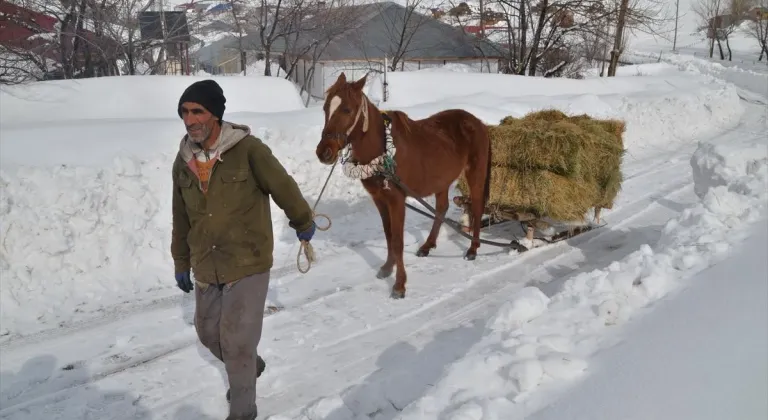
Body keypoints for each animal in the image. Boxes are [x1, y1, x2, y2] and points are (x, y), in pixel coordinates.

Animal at [316, 72, 492, 296]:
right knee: (441, 208)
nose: (324, 152)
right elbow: (389, 236)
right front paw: (387, 268)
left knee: (477, 207)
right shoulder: (380, 199)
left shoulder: (396, 200)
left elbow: (398, 241)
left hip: (475, 173)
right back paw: (427, 245)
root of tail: (478, 122)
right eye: (325, 108)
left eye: (347, 109)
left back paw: (473, 248)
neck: (382, 152)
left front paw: (399, 285)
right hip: (442, 180)